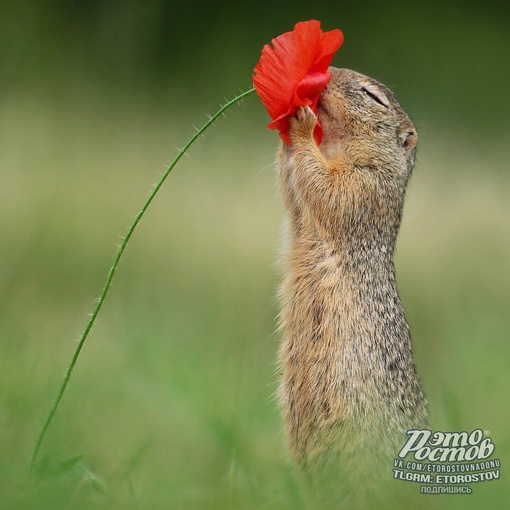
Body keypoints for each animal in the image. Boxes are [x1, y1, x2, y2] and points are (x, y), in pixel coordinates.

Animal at [276, 65, 428, 500]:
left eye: (372, 96)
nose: (325, 74)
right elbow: (295, 194)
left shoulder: (365, 187)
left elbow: (328, 189)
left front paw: (302, 124)